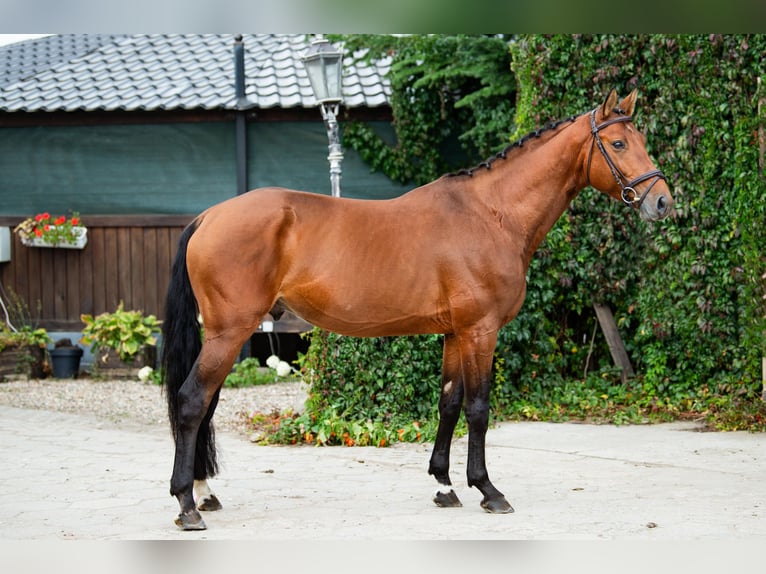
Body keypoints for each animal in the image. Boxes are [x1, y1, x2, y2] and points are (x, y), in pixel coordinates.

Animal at [162, 90, 672, 532]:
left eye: (642, 140)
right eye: (619, 143)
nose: (662, 200)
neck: (491, 214)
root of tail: (208, 217)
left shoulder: (455, 333)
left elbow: (448, 402)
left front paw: (445, 485)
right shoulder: (481, 331)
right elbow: (479, 408)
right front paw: (488, 490)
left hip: (227, 335)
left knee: (204, 405)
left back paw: (205, 492)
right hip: (230, 333)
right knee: (192, 402)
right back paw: (187, 504)